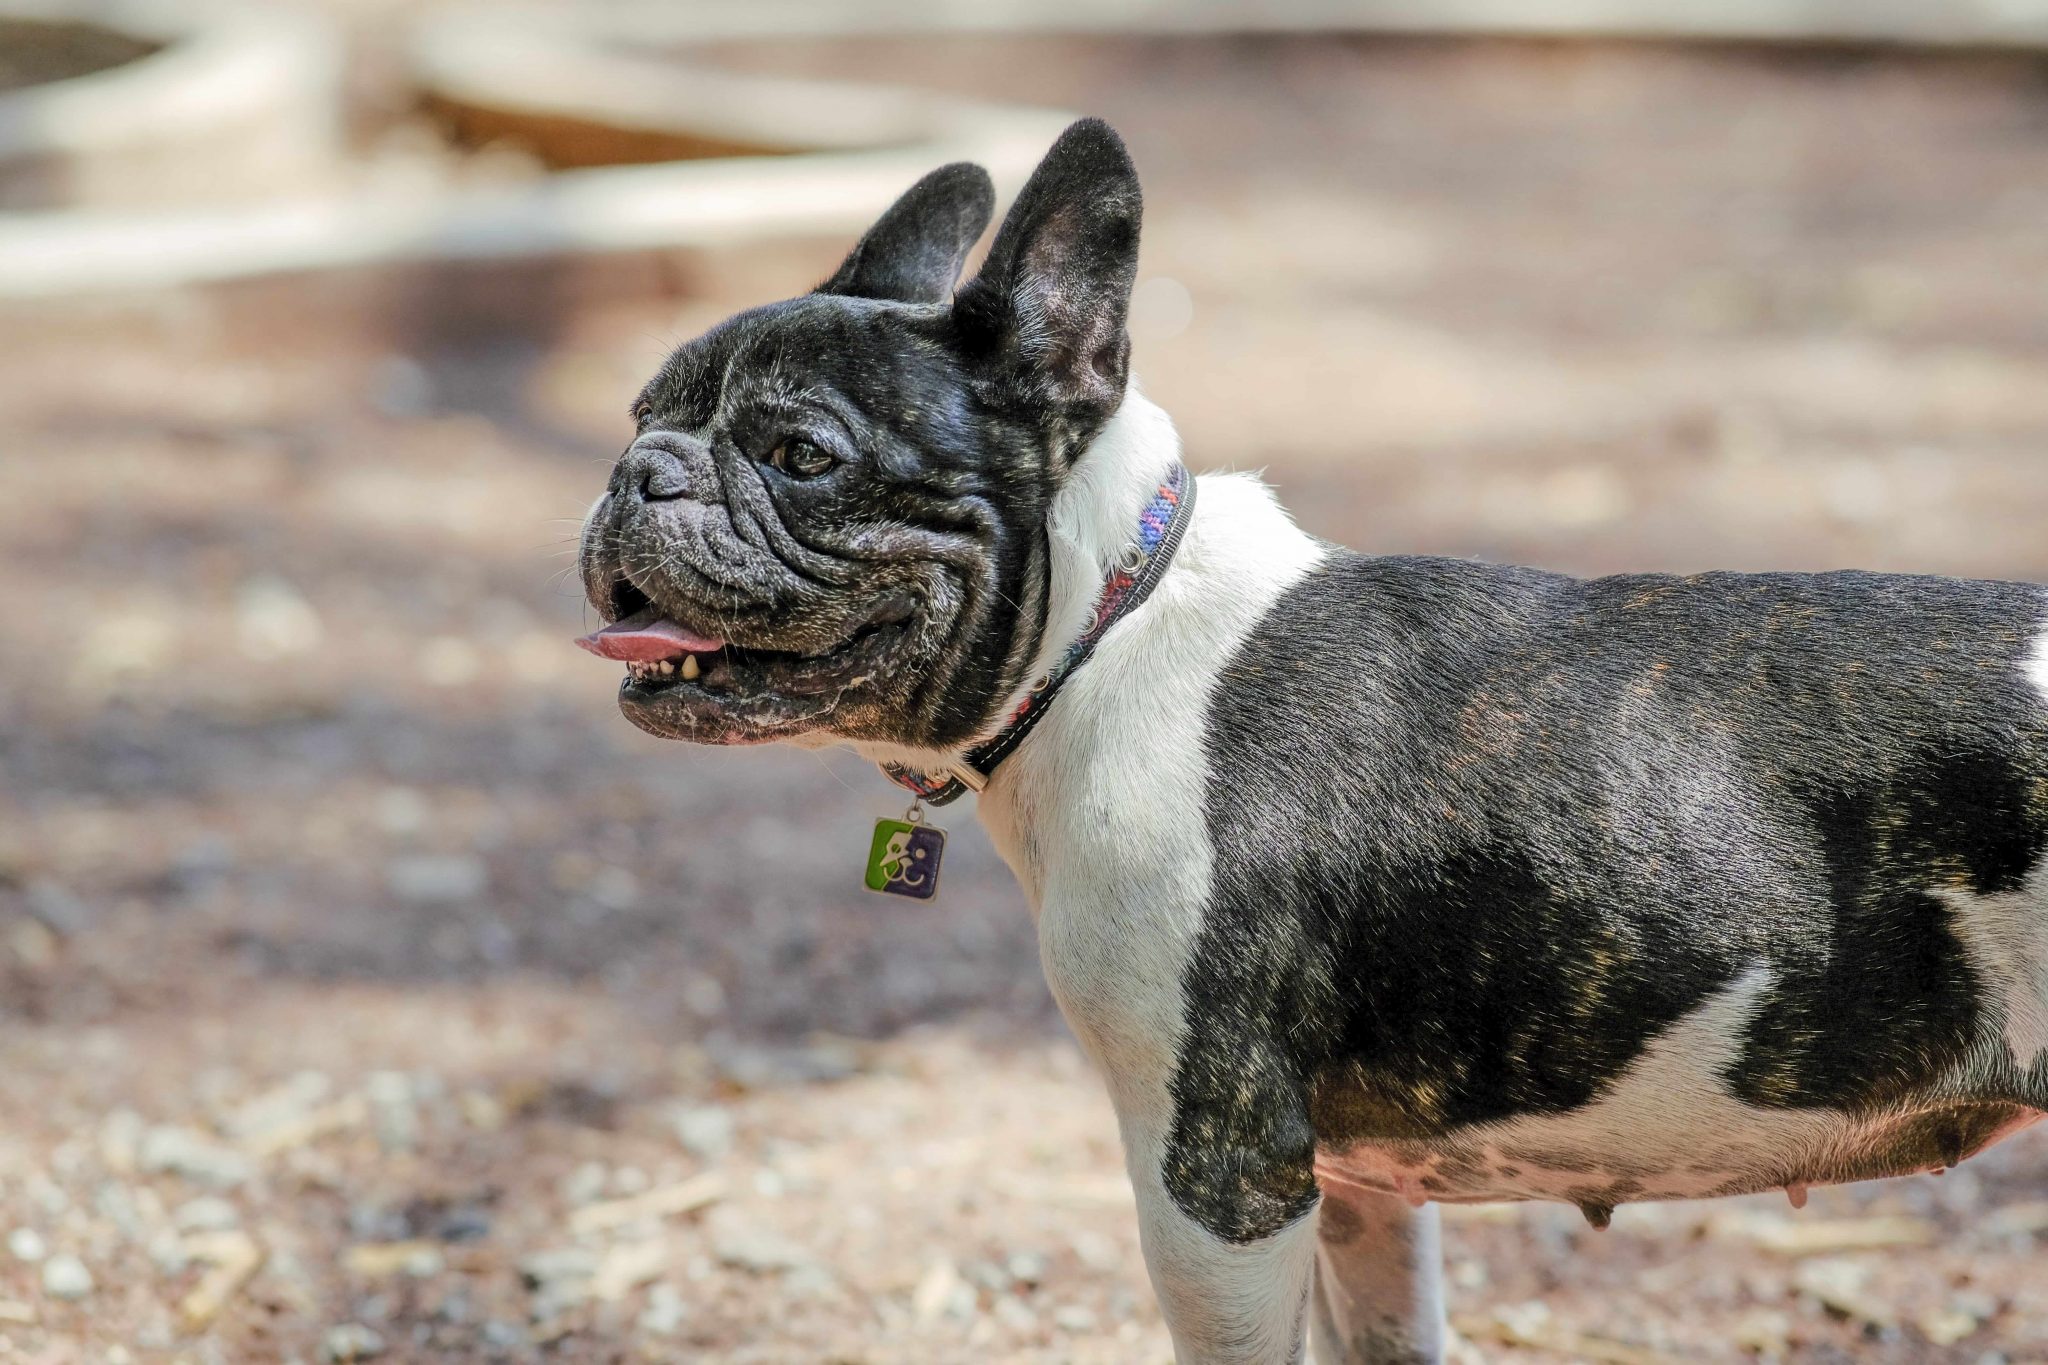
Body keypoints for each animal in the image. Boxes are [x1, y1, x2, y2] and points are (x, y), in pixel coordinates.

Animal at [577, 122, 2048, 1358]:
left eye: (802, 455)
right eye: (642, 412)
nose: (639, 471)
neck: (1113, 626)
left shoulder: (1215, 1178)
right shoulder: (1356, 1186)